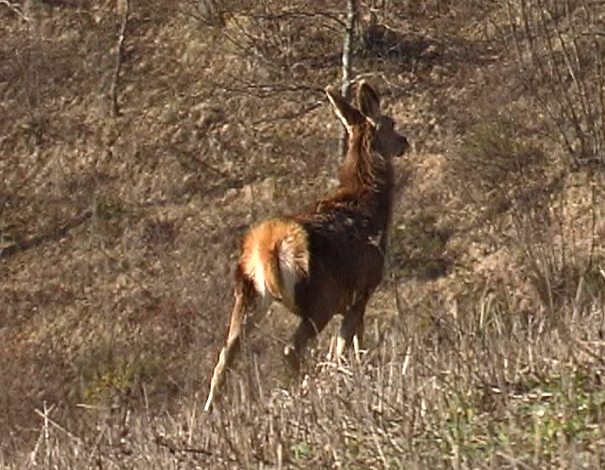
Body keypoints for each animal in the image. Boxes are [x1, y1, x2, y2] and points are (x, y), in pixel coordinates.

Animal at [205, 81, 408, 412]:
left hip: (247, 295)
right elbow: (345, 346)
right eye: (391, 123)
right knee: (291, 349)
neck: (372, 208)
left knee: (226, 356)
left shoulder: (352, 297)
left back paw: (212, 411)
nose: (405, 142)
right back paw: (304, 390)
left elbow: (353, 345)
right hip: (320, 298)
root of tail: (267, 248)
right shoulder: (363, 287)